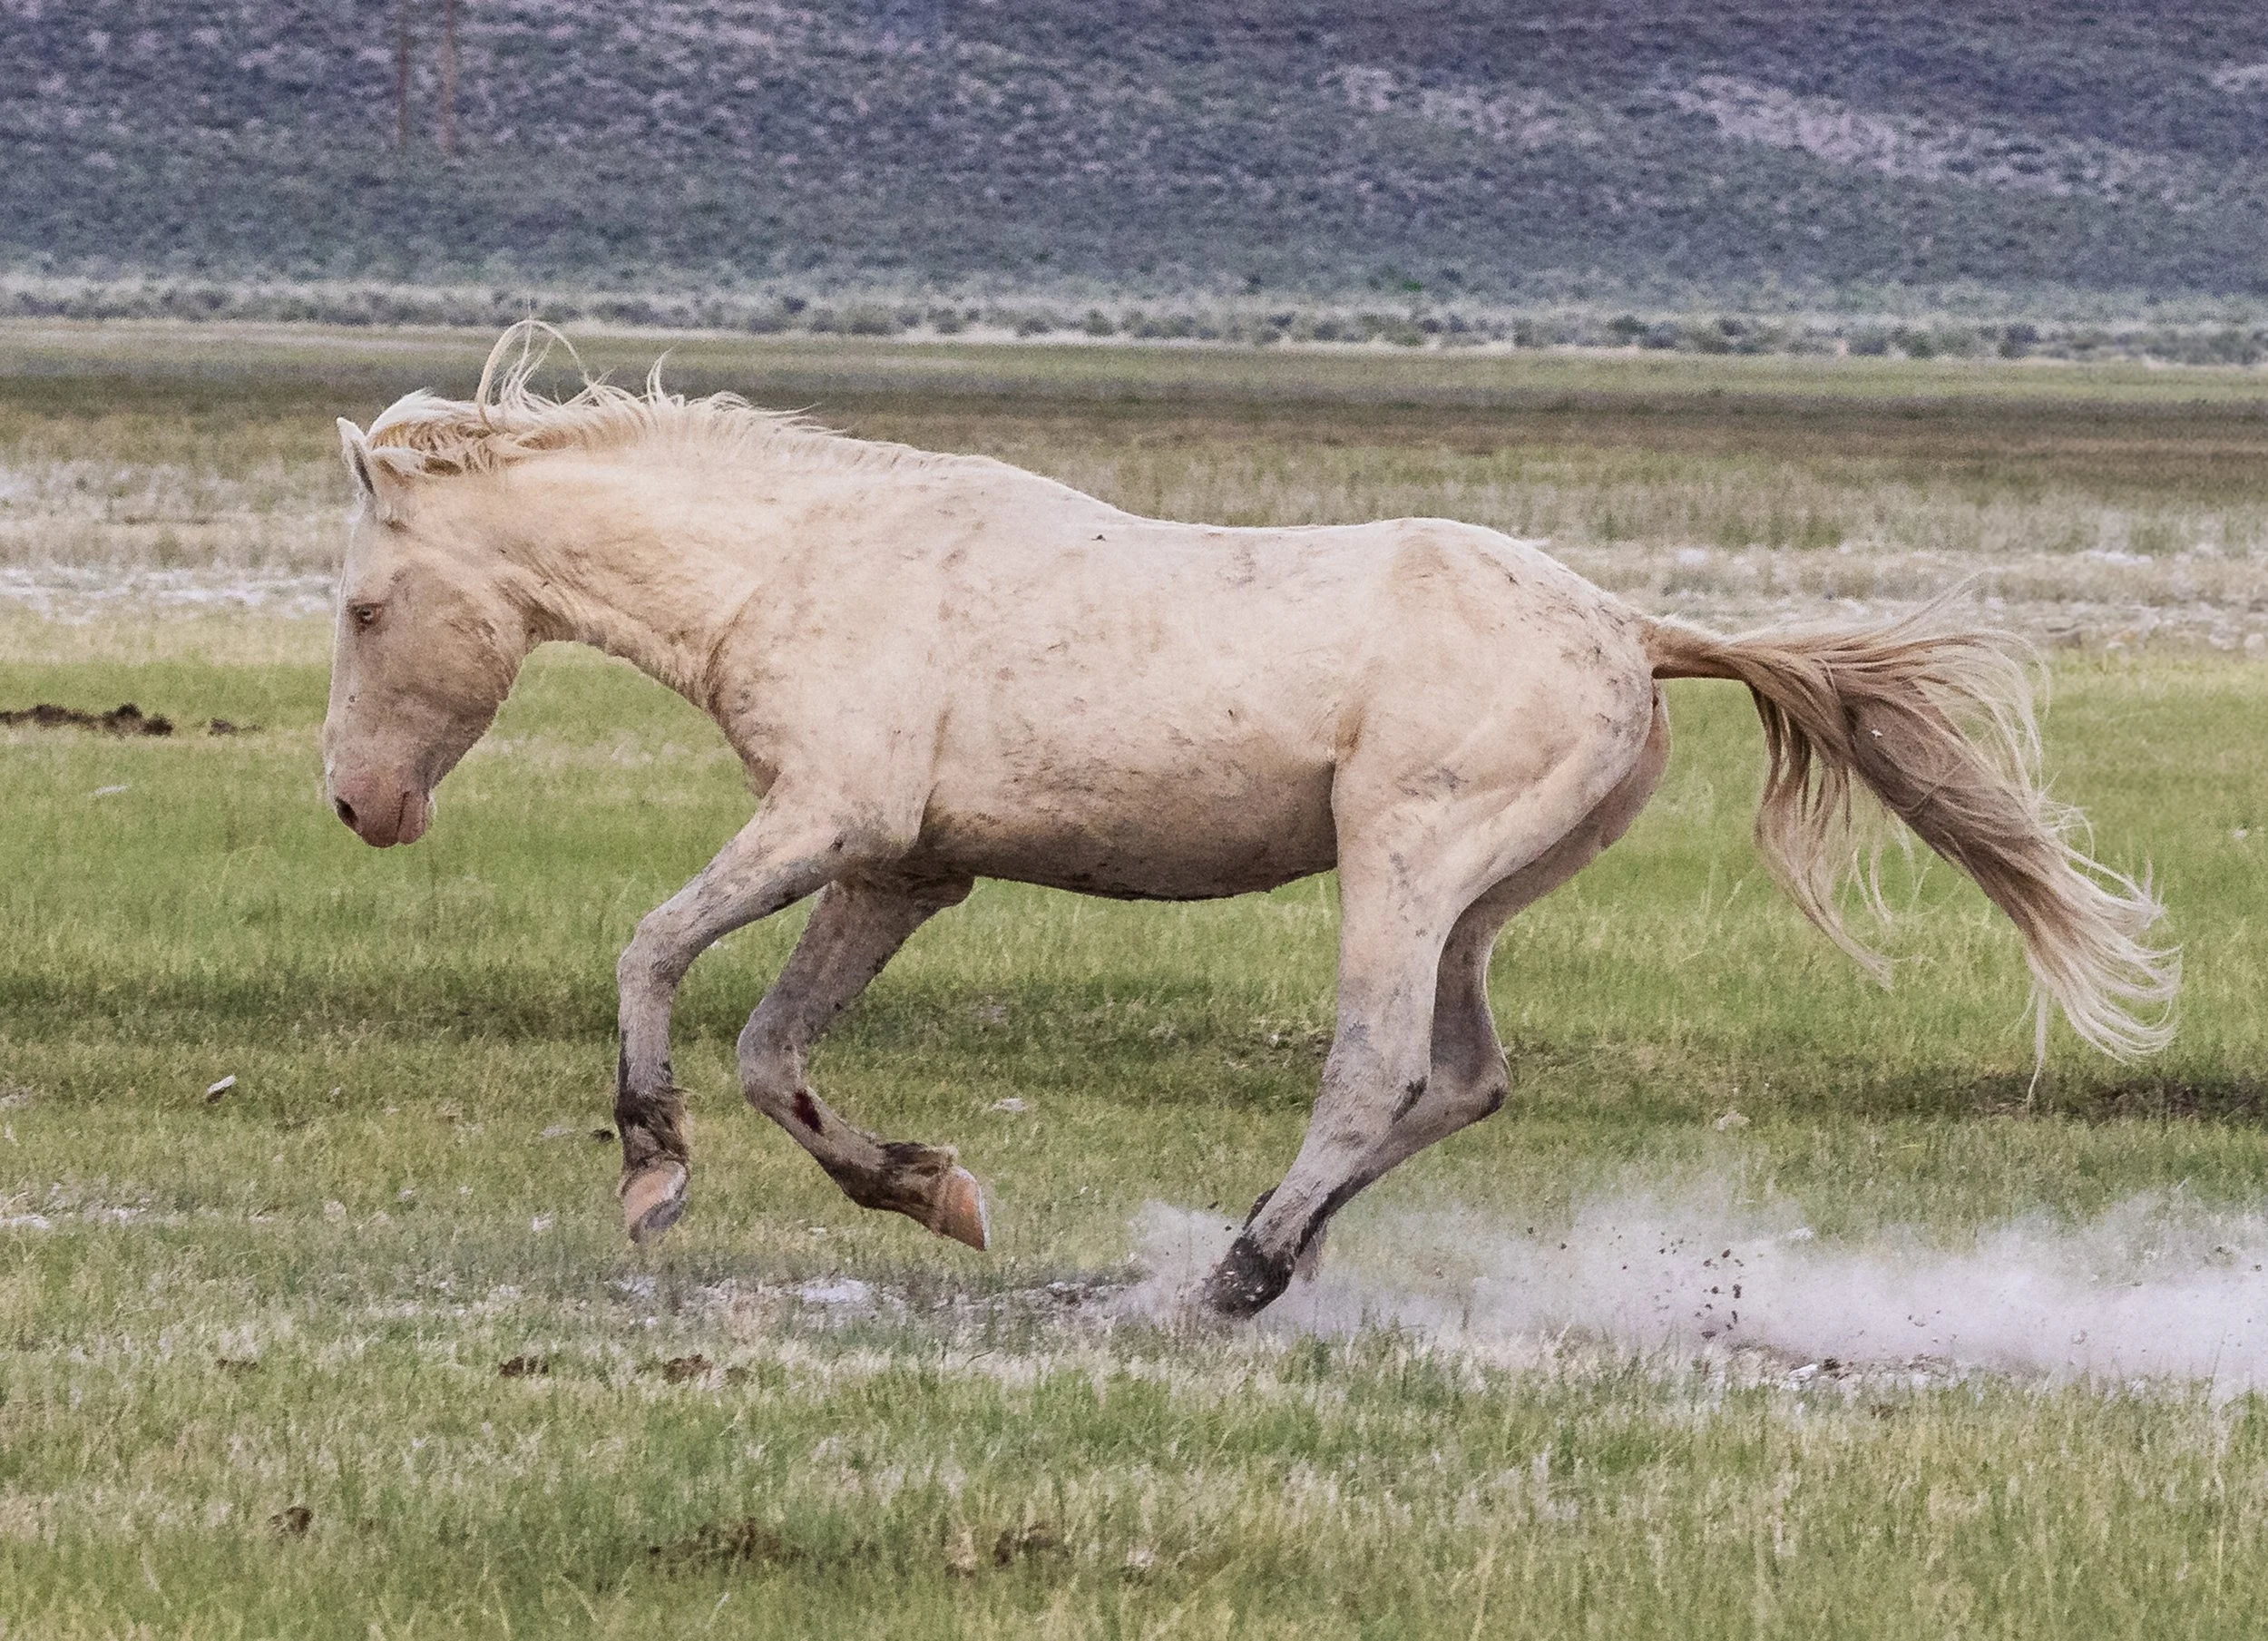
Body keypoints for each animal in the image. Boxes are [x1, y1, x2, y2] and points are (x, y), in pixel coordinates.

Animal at [321, 326, 2176, 1317]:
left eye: (357, 605)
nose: (360, 805)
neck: (793, 564)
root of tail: (1635, 630)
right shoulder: (905, 868)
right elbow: (781, 1055)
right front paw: (932, 1190)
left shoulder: (825, 818)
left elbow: (652, 952)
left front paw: (653, 1173)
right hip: (1475, 901)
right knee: (1462, 1077)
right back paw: (1286, 1251)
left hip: (1404, 870)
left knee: (1375, 1068)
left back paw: (1237, 1271)